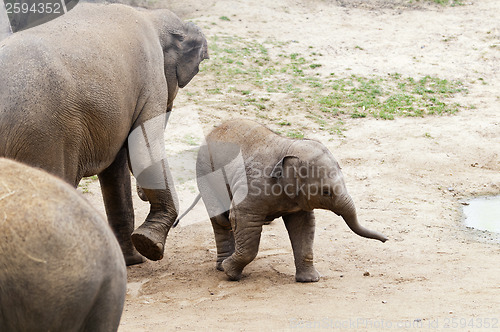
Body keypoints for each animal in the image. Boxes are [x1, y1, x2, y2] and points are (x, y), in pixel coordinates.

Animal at [0, 1, 209, 264]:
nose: (142, 194)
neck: (149, 15)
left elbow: (116, 170)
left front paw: (134, 260)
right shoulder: (151, 80)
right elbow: (143, 151)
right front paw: (148, 246)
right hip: (43, 135)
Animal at [192, 118, 386, 282]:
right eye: (326, 192)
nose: (386, 239)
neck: (288, 146)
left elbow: (303, 226)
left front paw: (309, 280)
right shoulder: (253, 188)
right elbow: (241, 217)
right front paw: (230, 273)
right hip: (204, 171)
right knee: (221, 220)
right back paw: (222, 267)